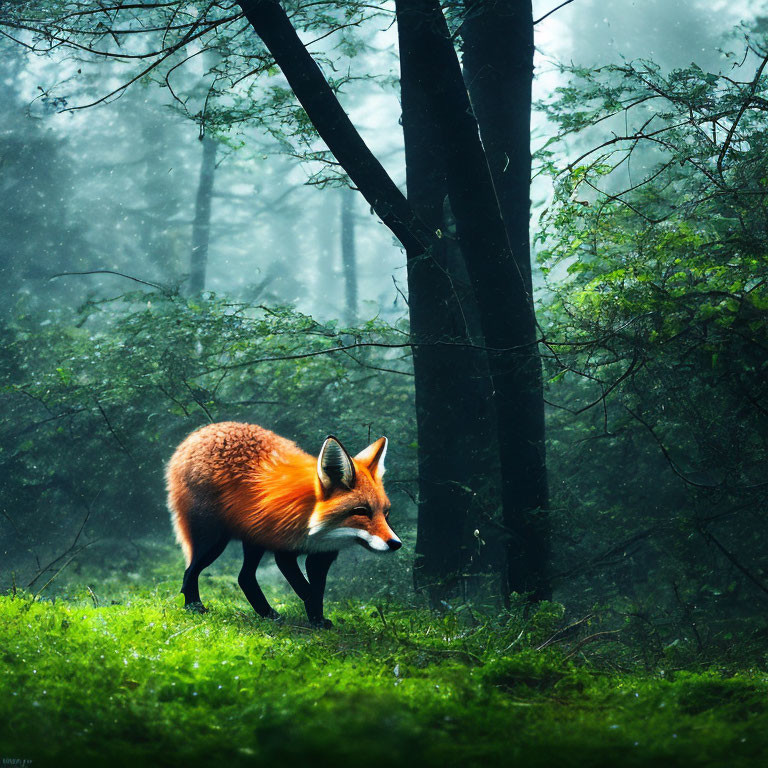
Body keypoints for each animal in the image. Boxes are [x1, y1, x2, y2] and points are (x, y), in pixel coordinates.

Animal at [165, 424, 400, 628]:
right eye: (361, 511)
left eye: (386, 513)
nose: (396, 543)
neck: (317, 531)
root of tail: (198, 434)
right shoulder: (284, 552)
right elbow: (308, 591)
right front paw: (315, 618)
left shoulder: (321, 557)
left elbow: (317, 590)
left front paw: (317, 621)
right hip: (214, 542)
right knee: (190, 572)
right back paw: (193, 607)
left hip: (254, 540)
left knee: (244, 577)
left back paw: (267, 614)